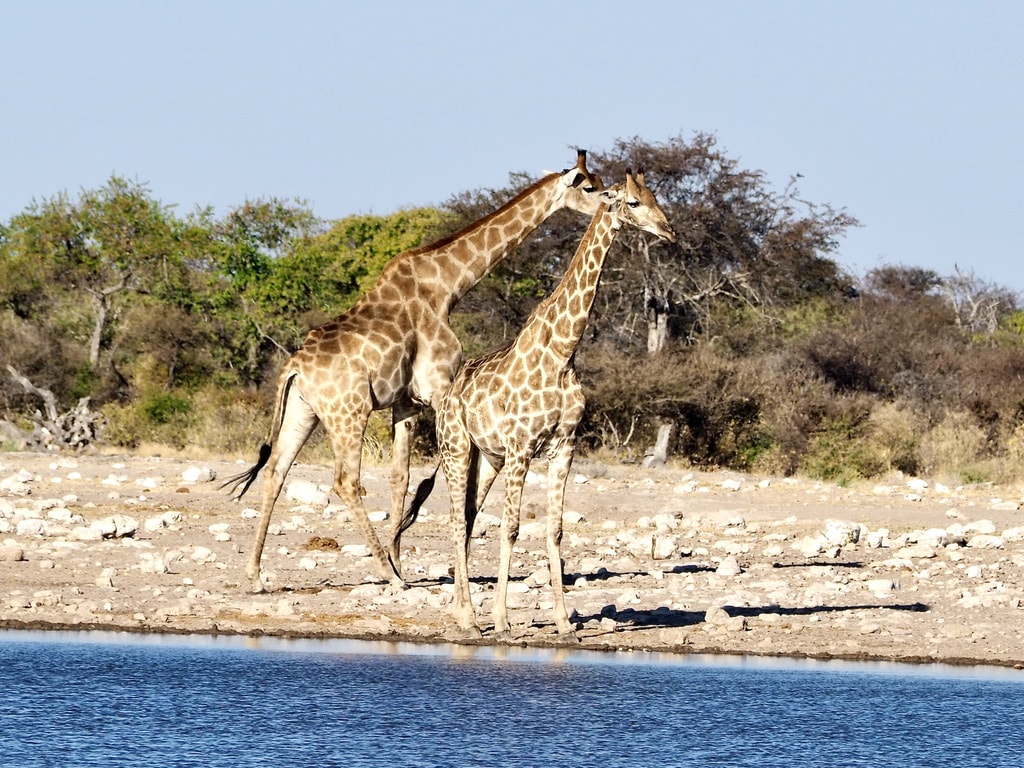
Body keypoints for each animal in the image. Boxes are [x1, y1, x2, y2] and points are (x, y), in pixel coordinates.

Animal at [224, 151, 602, 593]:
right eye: (590, 187)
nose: (613, 202)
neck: (447, 288)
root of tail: (293, 367)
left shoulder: (405, 401)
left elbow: (401, 477)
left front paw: (400, 557)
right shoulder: (439, 388)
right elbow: (441, 479)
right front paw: (422, 564)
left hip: (305, 411)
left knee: (276, 471)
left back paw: (256, 575)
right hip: (348, 413)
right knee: (345, 481)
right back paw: (387, 575)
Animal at [411, 171, 675, 638]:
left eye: (654, 197)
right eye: (632, 202)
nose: (669, 230)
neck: (563, 354)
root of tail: (446, 396)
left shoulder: (563, 447)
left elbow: (555, 530)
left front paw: (564, 621)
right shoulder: (521, 448)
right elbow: (512, 529)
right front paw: (501, 619)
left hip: (488, 458)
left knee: (469, 518)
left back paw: (462, 612)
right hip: (457, 447)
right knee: (458, 520)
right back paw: (471, 619)